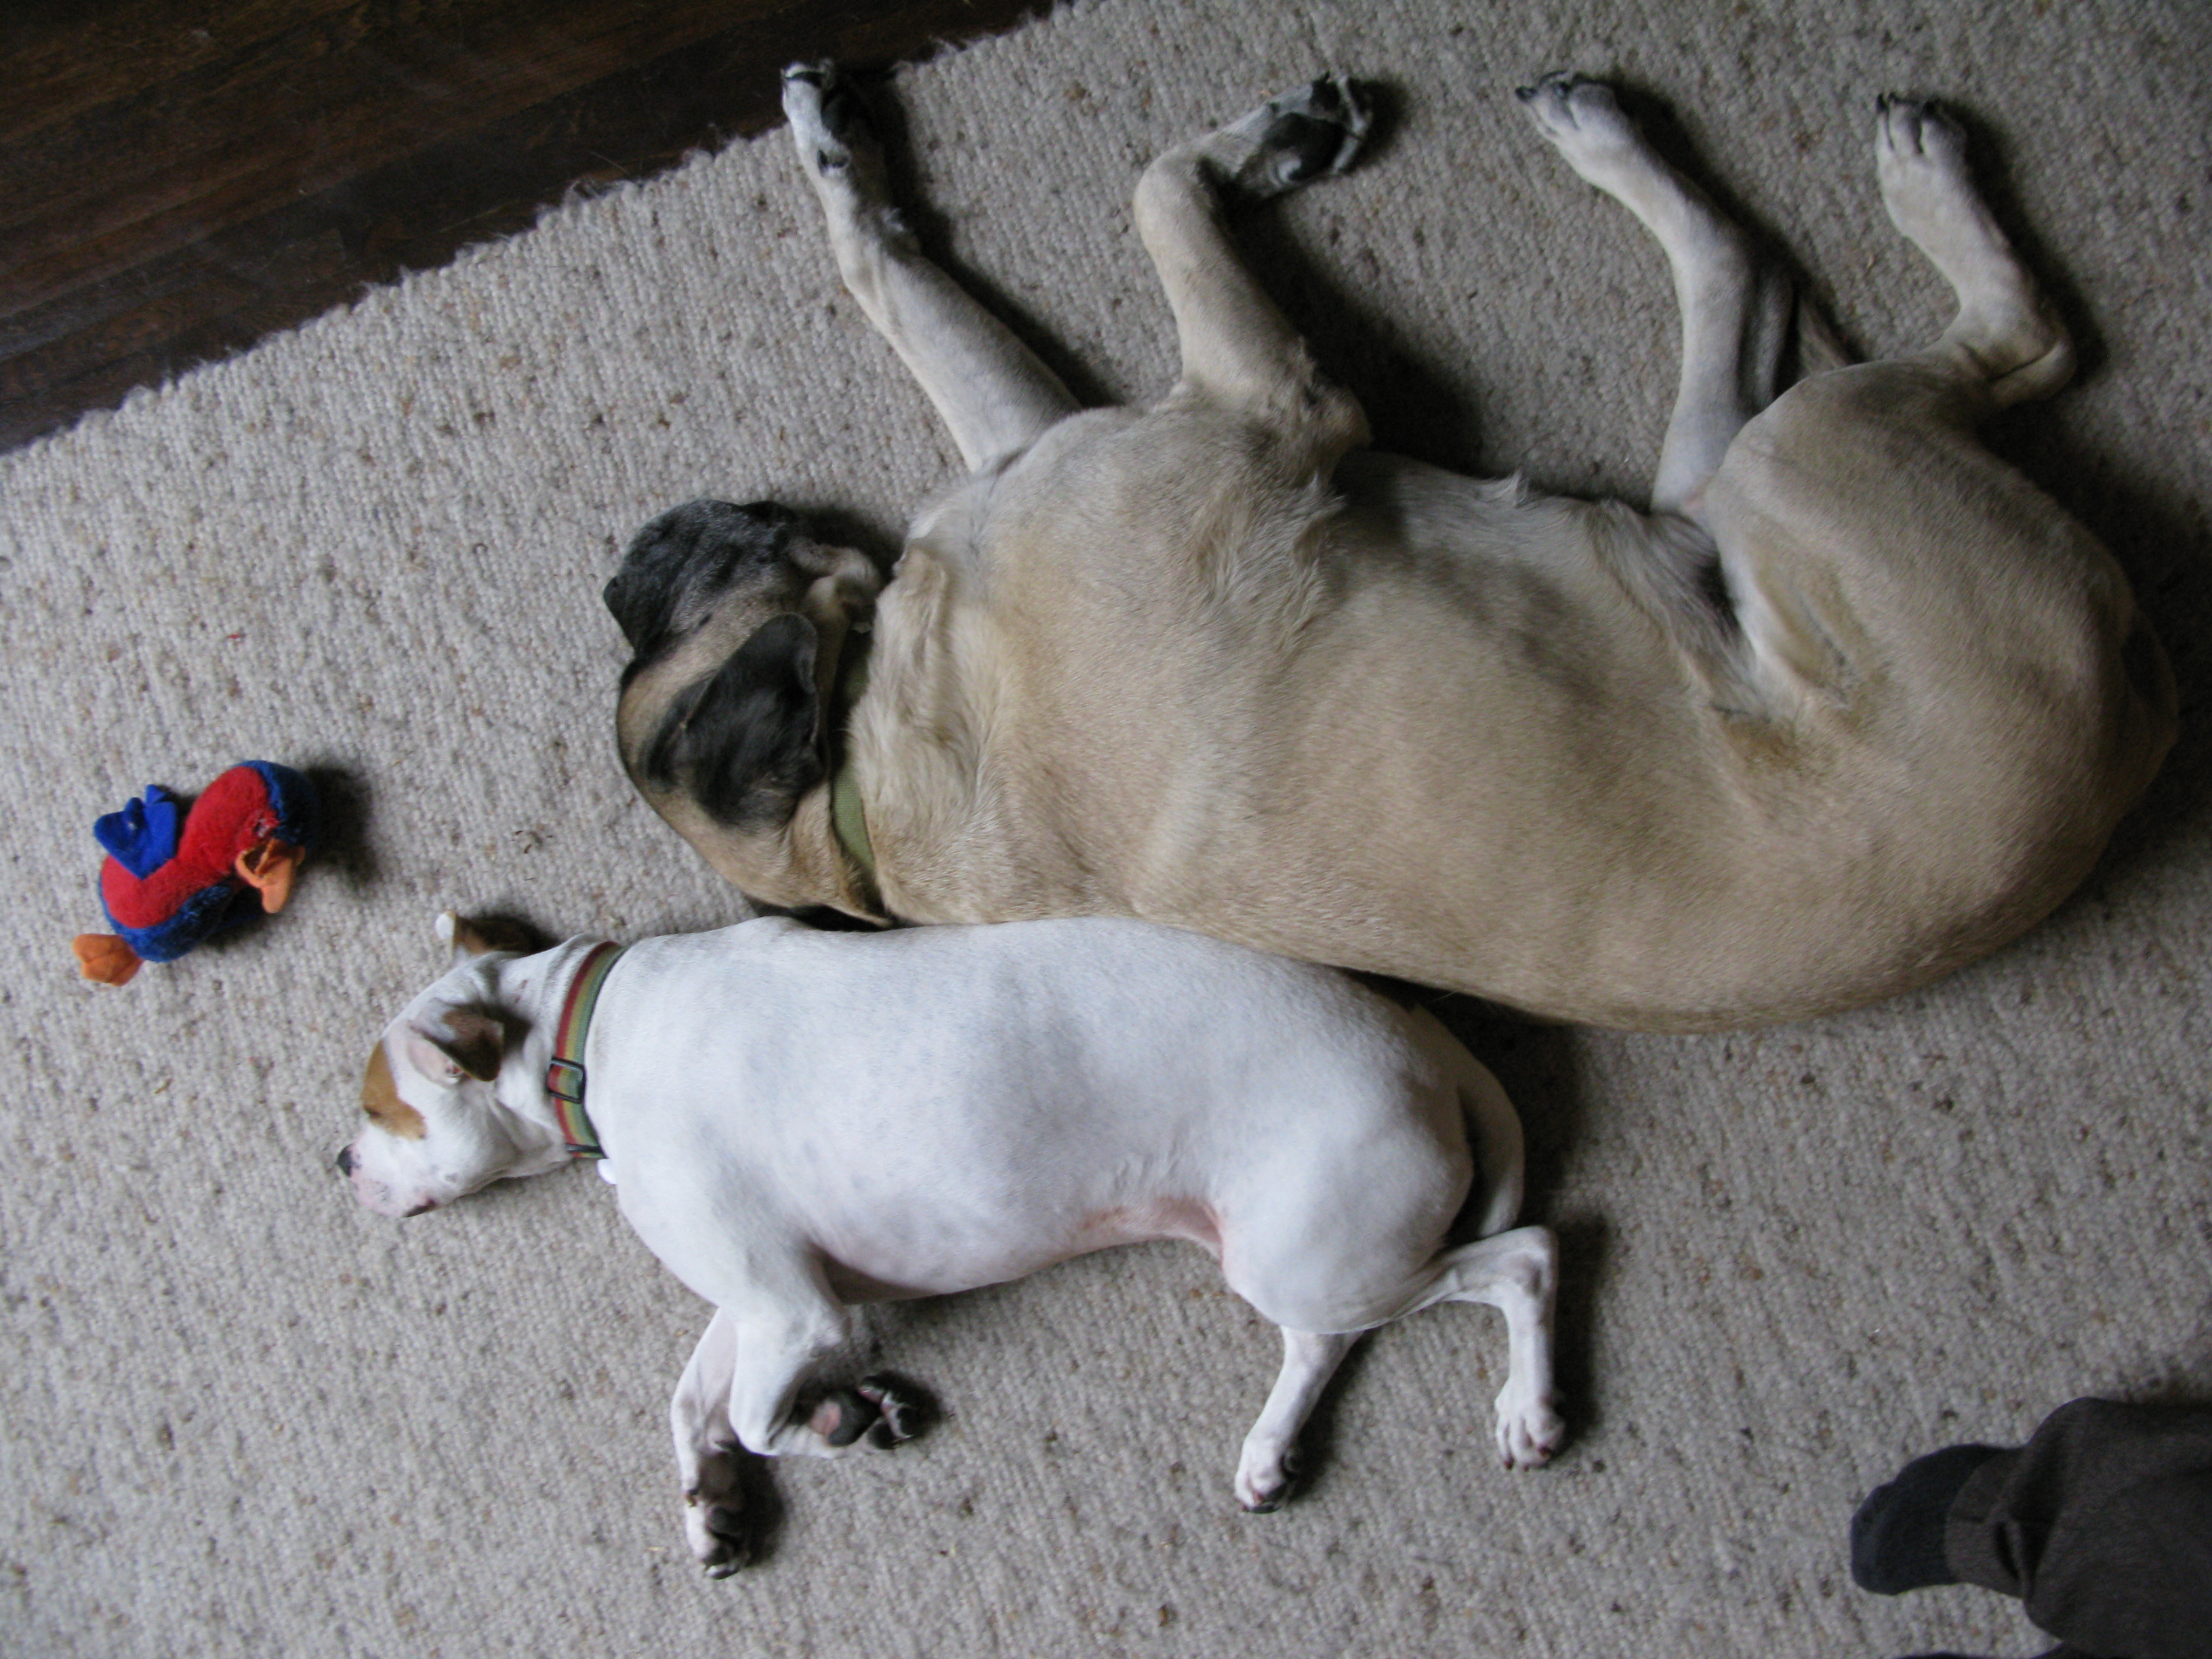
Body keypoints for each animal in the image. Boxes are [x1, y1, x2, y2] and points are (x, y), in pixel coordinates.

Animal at [342, 912, 1563, 1572]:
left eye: (379, 1110)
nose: (337, 1164)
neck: (584, 1041)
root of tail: (1427, 1043)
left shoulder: (795, 1312)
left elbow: (758, 1413)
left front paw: (841, 1420)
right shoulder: (759, 1300)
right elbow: (690, 1403)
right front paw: (711, 1507)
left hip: (1318, 1247)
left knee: (1529, 1257)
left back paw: (1530, 1411)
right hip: (1301, 1250)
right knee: (1325, 1341)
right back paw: (1269, 1451)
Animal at [603, 67, 2173, 1032]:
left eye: (650, 614)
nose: (627, 556)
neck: (861, 778)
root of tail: (2129, 729)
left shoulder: (1035, 448)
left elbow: (898, 262)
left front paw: (833, 144)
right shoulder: (1266, 402)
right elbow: (1153, 189)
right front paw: (1254, 152)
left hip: (1729, 489)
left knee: (1760, 285)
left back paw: (1617, 143)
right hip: (1809, 460)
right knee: (2013, 339)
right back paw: (1888, 181)